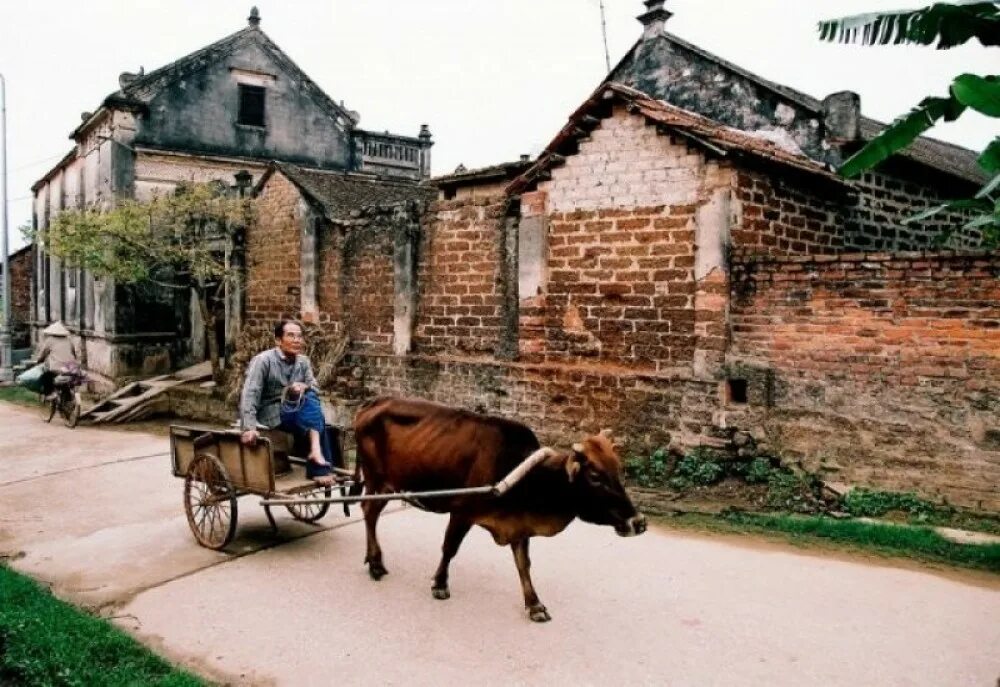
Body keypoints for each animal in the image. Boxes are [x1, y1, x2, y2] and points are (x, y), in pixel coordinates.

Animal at [352, 396, 648, 620]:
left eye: (618, 470)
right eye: (595, 476)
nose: (639, 522)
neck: (526, 477)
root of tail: (372, 402)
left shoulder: (519, 526)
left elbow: (523, 564)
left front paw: (534, 605)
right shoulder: (461, 512)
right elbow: (449, 548)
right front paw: (440, 584)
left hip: (387, 485)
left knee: (370, 512)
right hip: (377, 480)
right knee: (369, 512)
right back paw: (376, 564)